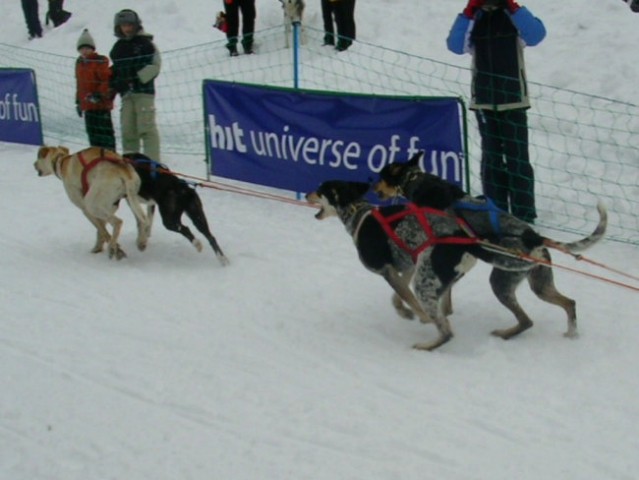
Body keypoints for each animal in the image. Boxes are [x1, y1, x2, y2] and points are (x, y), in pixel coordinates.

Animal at [376, 152, 608, 344]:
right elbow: (445, 295)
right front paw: (444, 311)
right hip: (541, 286)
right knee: (569, 303)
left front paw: (407, 309)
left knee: (527, 320)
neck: (416, 181)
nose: (372, 186)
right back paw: (571, 334)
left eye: (380, 176)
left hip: (500, 282)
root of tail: (535, 238)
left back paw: (504, 334)